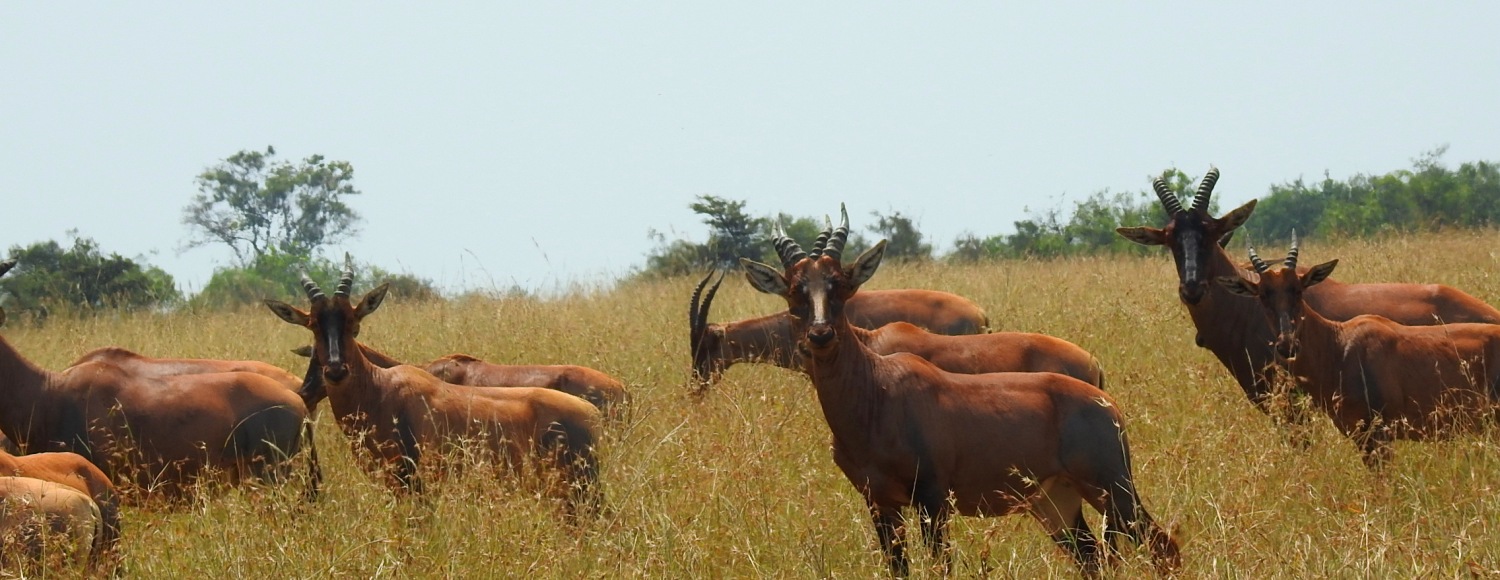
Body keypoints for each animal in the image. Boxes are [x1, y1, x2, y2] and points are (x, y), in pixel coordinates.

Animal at [738, 208, 1182, 575]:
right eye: (794, 289)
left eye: (841, 285)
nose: (819, 336)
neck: (877, 390)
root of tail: (1107, 402)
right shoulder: (879, 504)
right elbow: (898, 570)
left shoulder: (933, 499)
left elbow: (941, 568)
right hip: (1057, 501)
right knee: (1093, 558)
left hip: (1111, 488)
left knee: (1164, 547)